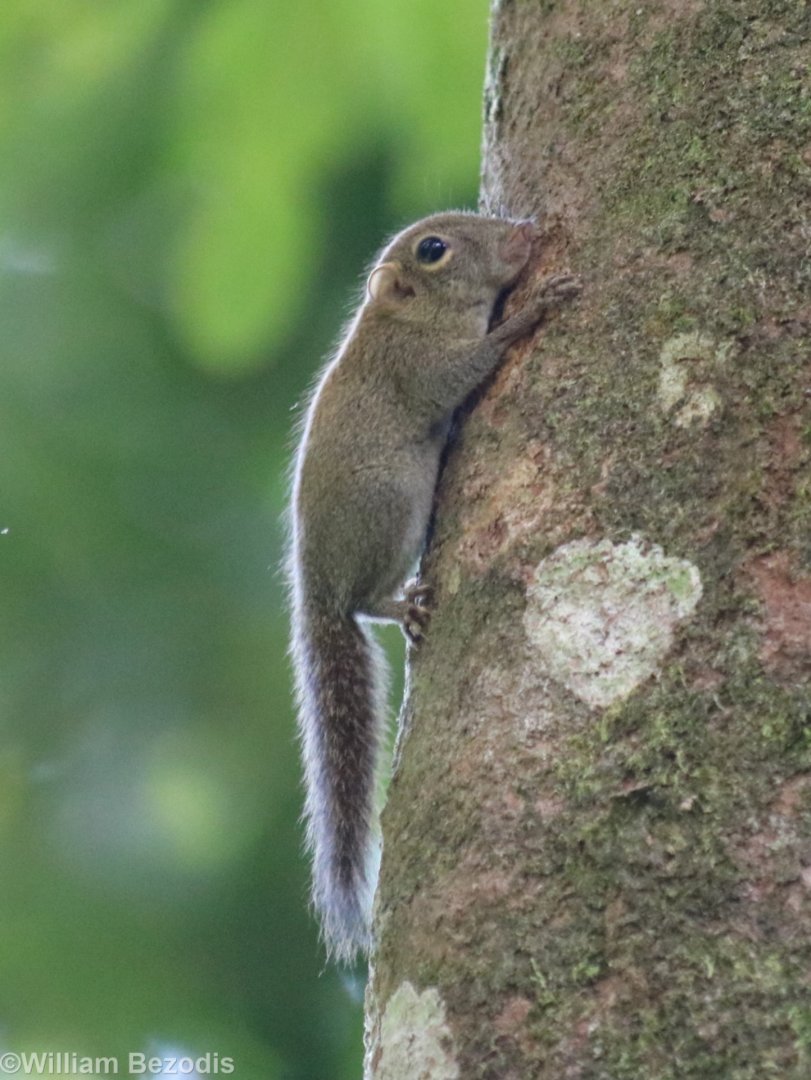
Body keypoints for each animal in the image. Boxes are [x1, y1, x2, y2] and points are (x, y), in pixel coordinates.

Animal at [287, 211, 579, 962]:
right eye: (433, 250)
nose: (521, 233)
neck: (407, 319)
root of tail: (319, 594)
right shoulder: (420, 368)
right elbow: (468, 369)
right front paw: (531, 311)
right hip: (388, 510)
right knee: (366, 601)